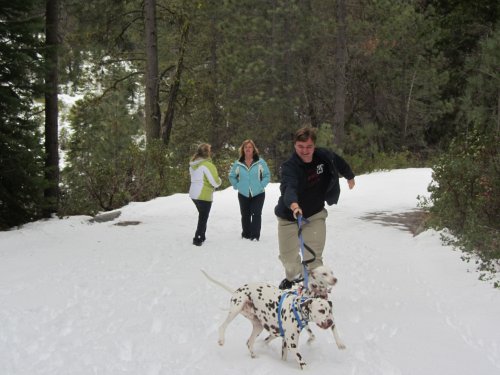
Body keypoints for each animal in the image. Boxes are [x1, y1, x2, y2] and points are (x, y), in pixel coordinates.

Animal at [201, 270, 346, 370]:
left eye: (329, 310)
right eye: (321, 311)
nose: (331, 322)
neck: (297, 308)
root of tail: (237, 290)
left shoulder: (286, 342)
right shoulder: (292, 344)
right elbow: (302, 362)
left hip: (258, 326)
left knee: (249, 342)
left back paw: (254, 355)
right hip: (236, 309)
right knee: (222, 326)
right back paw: (221, 339)